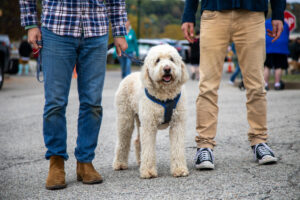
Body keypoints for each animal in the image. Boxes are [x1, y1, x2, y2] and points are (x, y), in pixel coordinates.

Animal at [113, 44, 189, 178]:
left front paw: (179, 169)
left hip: (140, 119)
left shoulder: (177, 124)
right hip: (125, 118)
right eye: (157, 60)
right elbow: (148, 148)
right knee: (123, 140)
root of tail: (129, 75)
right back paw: (120, 163)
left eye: (171, 59)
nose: (167, 68)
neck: (165, 95)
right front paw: (148, 171)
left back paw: (140, 161)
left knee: (137, 140)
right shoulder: (149, 125)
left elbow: (178, 147)